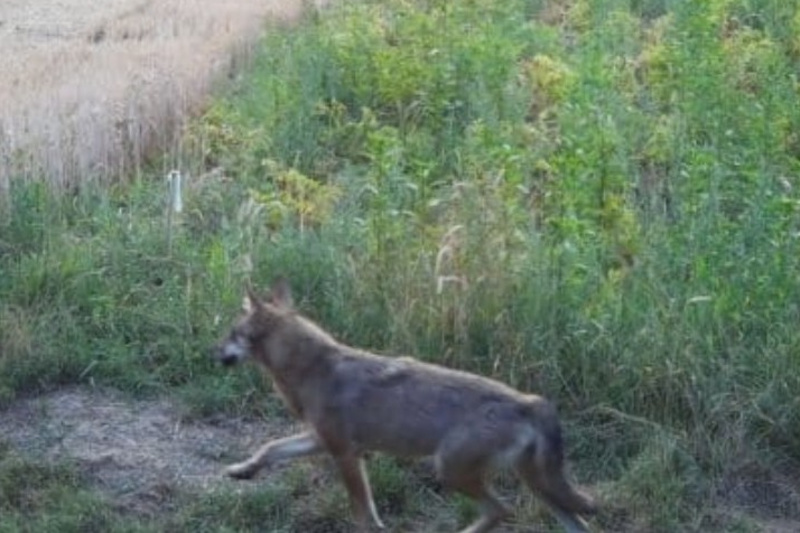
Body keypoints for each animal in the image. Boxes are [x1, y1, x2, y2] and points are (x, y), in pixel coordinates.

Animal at [213, 278, 596, 533]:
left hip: (450, 471)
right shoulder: (323, 441)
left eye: (231, 333)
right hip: (534, 487)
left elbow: (364, 516)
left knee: (502, 510)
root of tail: (531, 402)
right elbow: (269, 448)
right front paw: (242, 470)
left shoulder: (346, 454)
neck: (313, 368)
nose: (212, 354)